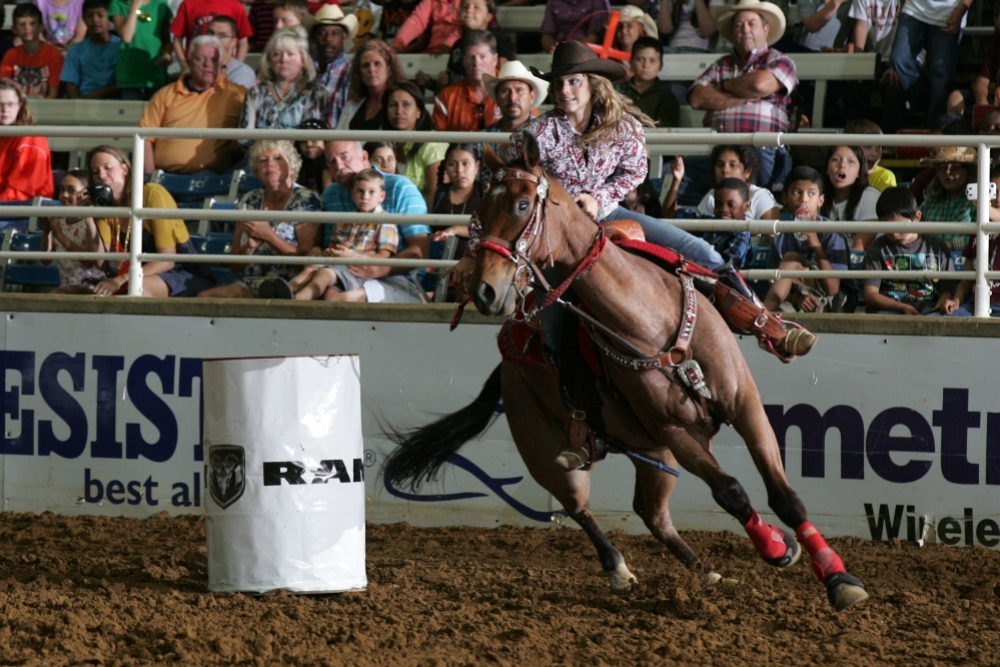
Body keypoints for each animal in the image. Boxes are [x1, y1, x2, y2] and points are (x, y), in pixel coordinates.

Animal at [386, 136, 872, 616]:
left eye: (523, 205)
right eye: (479, 212)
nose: (485, 289)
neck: (651, 322)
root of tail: (505, 365)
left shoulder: (744, 405)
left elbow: (784, 496)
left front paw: (837, 577)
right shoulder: (673, 430)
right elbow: (731, 492)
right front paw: (776, 547)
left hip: (655, 454)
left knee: (652, 514)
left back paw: (710, 574)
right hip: (546, 450)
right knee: (580, 508)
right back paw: (619, 568)